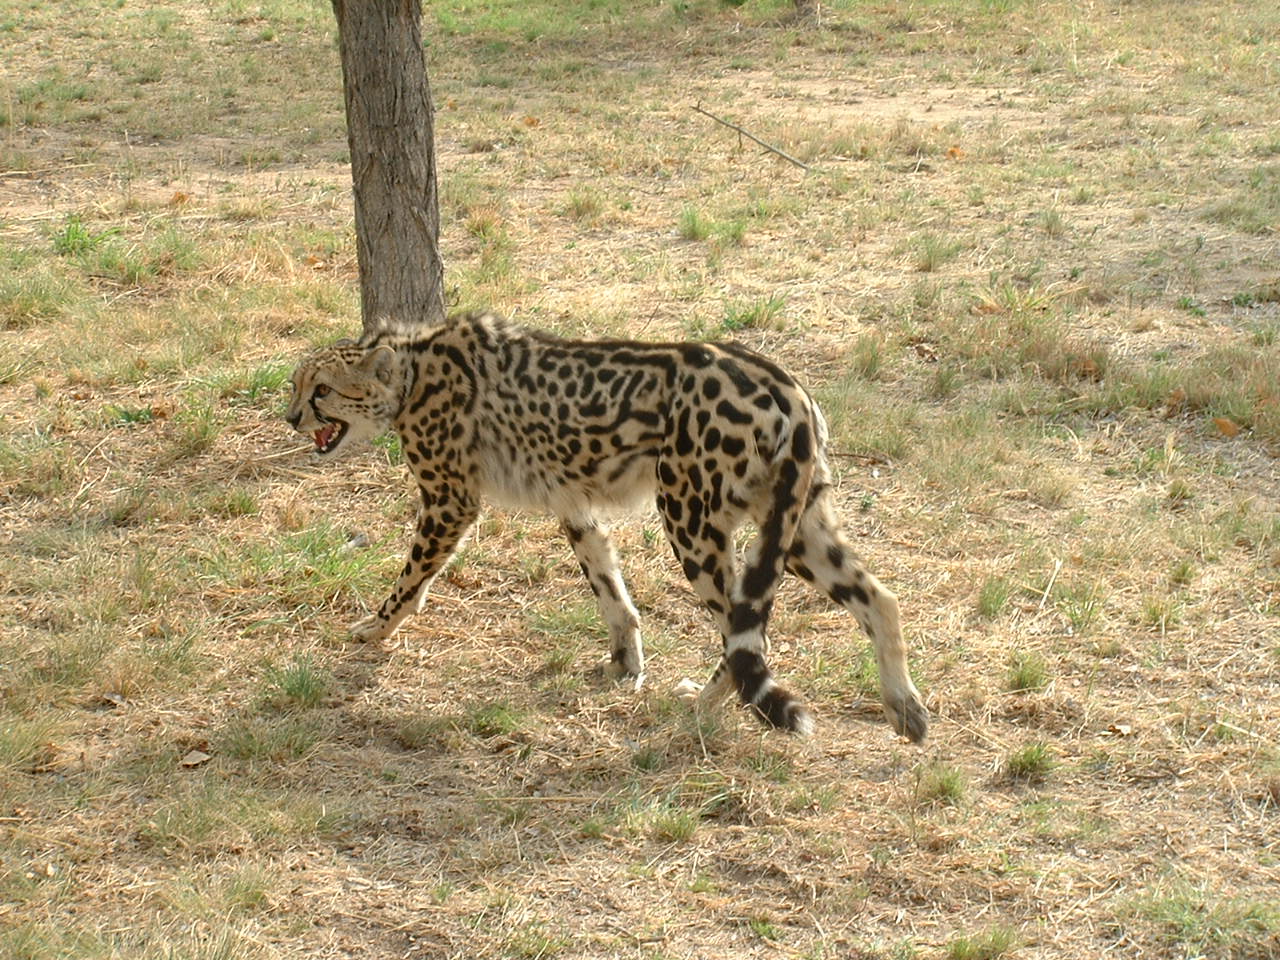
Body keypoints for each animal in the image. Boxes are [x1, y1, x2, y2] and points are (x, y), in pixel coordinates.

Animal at [286, 311, 928, 741]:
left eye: (322, 391)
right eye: (296, 385)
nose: (291, 417)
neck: (409, 368)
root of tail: (783, 381)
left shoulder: (450, 501)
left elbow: (411, 577)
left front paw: (374, 628)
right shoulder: (572, 499)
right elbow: (608, 584)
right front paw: (626, 661)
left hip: (689, 515)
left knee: (745, 627)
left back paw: (705, 704)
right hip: (792, 522)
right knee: (878, 597)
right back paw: (905, 707)